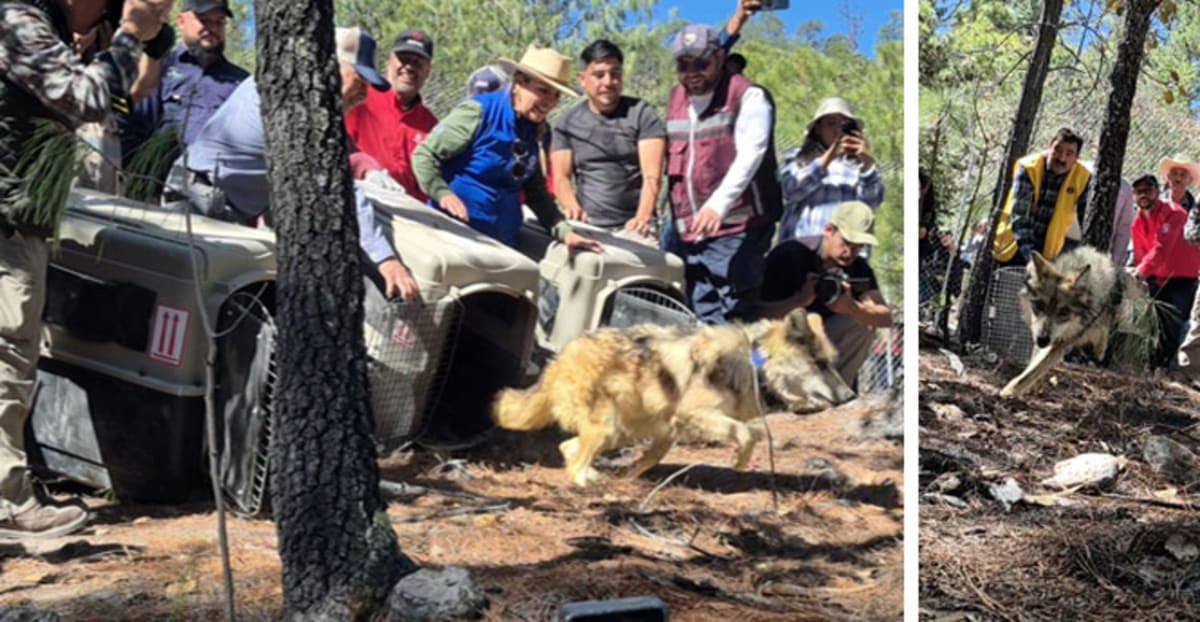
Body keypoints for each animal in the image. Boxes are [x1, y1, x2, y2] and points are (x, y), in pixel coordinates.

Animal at [493, 323, 765, 486]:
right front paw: (740, 461)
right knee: (575, 463)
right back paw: (586, 485)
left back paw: (596, 477)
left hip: (621, 434)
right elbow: (746, 433)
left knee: (567, 447)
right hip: (607, 429)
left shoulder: (669, 433)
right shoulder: (693, 415)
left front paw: (627, 479)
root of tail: (560, 356)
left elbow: (647, 461)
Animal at [1000, 245, 1143, 397]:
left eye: (1064, 312)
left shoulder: (1062, 342)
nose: (1043, 339)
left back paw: (1099, 350)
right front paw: (1033, 386)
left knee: (1103, 334)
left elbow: (1035, 368)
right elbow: (1034, 364)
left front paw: (1008, 392)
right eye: (1039, 306)